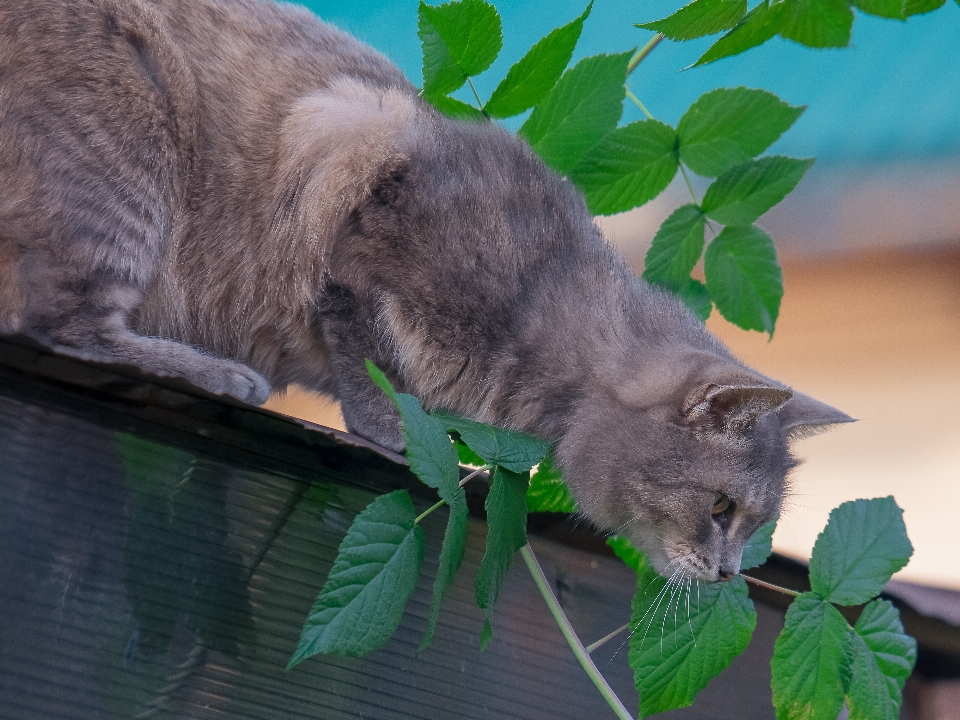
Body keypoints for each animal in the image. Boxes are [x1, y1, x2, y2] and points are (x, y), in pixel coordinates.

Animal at [3, 0, 852, 584]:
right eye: (721, 509)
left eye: (757, 523)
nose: (732, 574)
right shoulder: (356, 182)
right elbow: (366, 352)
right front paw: (399, 426)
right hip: (127, 152)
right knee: (62, 321)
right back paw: (216, 373)